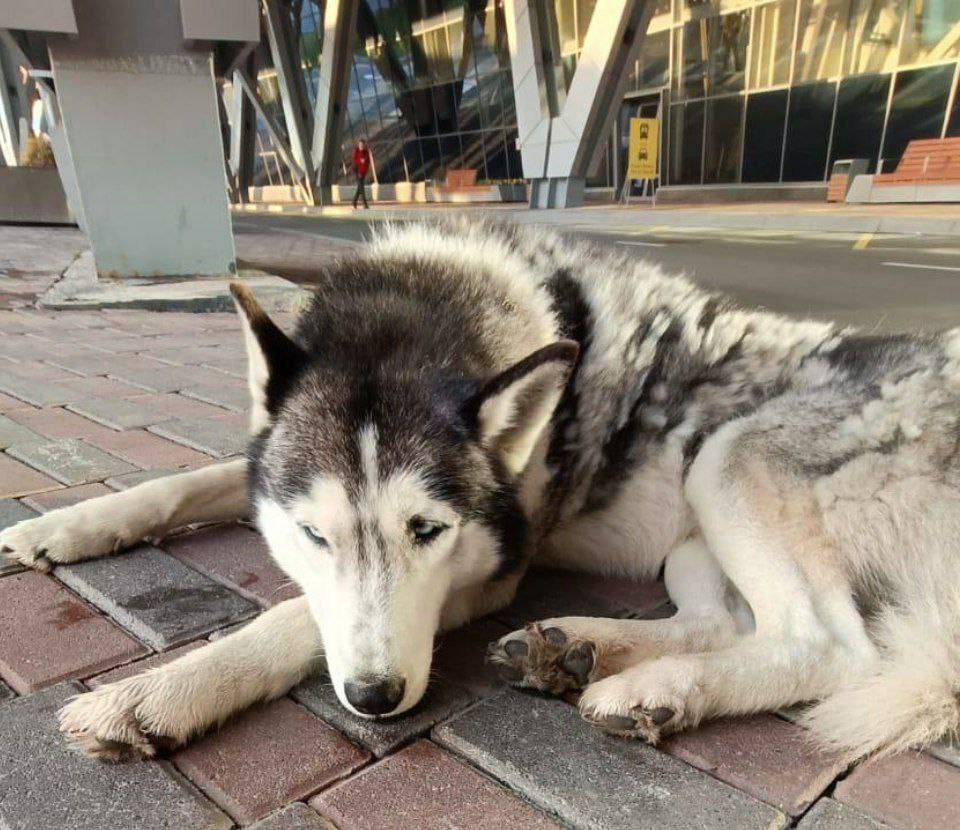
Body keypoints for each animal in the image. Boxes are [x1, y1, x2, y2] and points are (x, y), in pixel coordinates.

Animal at [1, 218, 960, 764]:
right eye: (313, 536)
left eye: (428, 531)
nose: (375, 699)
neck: (426, 309)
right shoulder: (261, 469)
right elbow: (184, 482)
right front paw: (66, 524)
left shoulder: (490, 572)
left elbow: (290, 621)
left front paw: (155, 695)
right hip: (694, 531)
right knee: (724, 621)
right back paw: (580, 650)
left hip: (724, 461)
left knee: (828, 644)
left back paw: (650, 686)